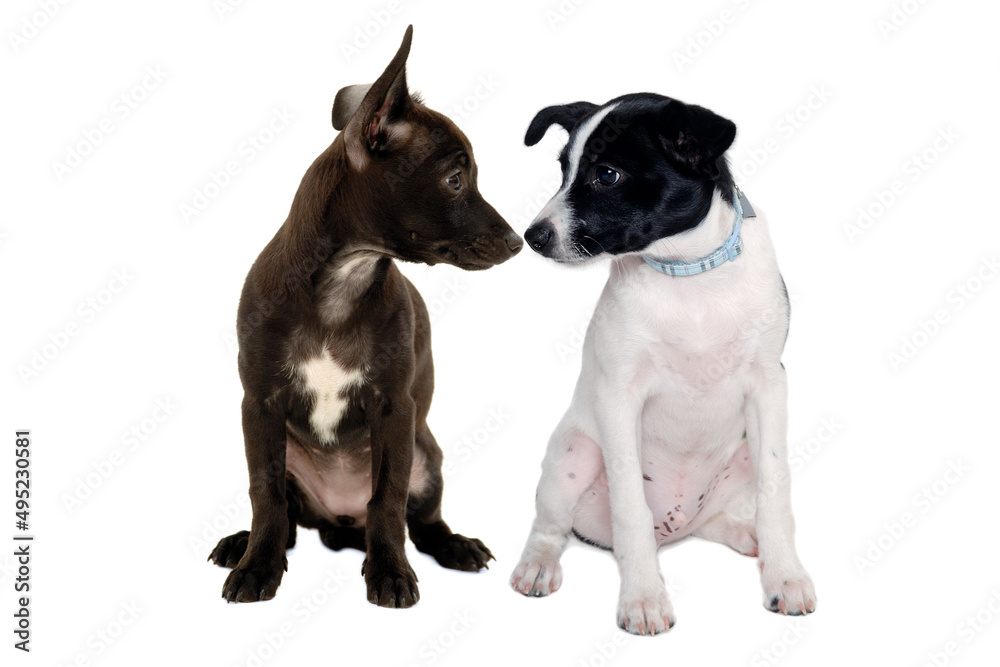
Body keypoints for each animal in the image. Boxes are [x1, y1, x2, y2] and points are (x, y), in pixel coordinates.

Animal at [211, 27, 524, 612]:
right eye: (455, 179)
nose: (518, 242)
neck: (344, 279)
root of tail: (339, 523)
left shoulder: (394, 409)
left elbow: (388, 499)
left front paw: (390, 573)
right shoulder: (259, 404)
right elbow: (264, 494)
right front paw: (257, 566)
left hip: (426, 454)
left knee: (419, 521)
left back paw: (456, 546)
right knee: (288, 519)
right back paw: (243, 543)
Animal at [512, 92, 816, 632]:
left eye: (606, 175)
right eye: (563, 169)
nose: (533, 235)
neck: (688, 274)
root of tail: (673, 529)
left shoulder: (769, 387)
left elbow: (776, 491)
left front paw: (785, 576)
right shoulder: (619, 397)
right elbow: (630, 509)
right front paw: (643, 598)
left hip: (738, 457)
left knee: (712, 521)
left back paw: (746, 535)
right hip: (575, 453)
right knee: (551, 526)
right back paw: (538, 566)